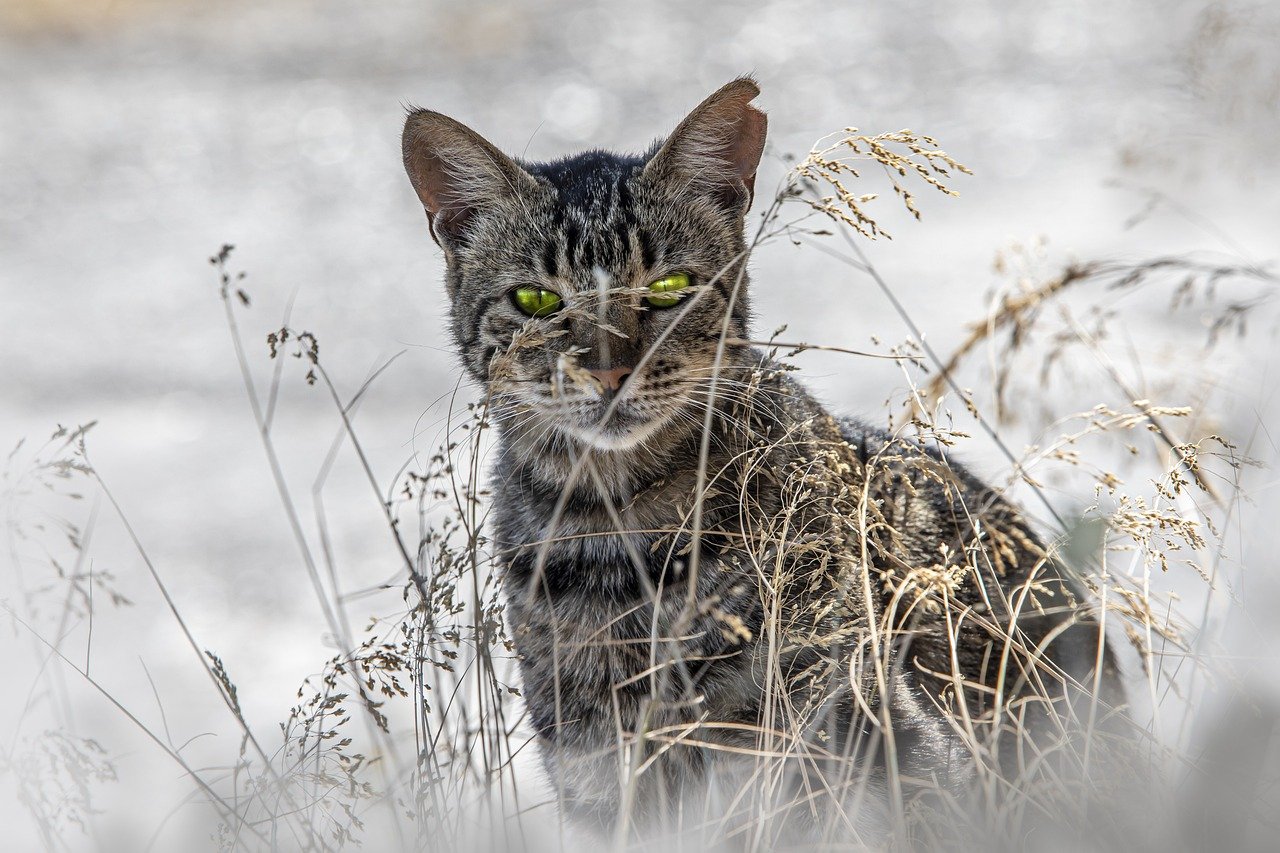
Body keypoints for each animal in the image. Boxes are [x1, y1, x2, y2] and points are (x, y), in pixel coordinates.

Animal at [399, 74, 1121, 845]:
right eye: (535, 299)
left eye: (668, 289)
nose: (610, 369)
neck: (616, 530)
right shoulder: (598, 773)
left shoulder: (841, 741)